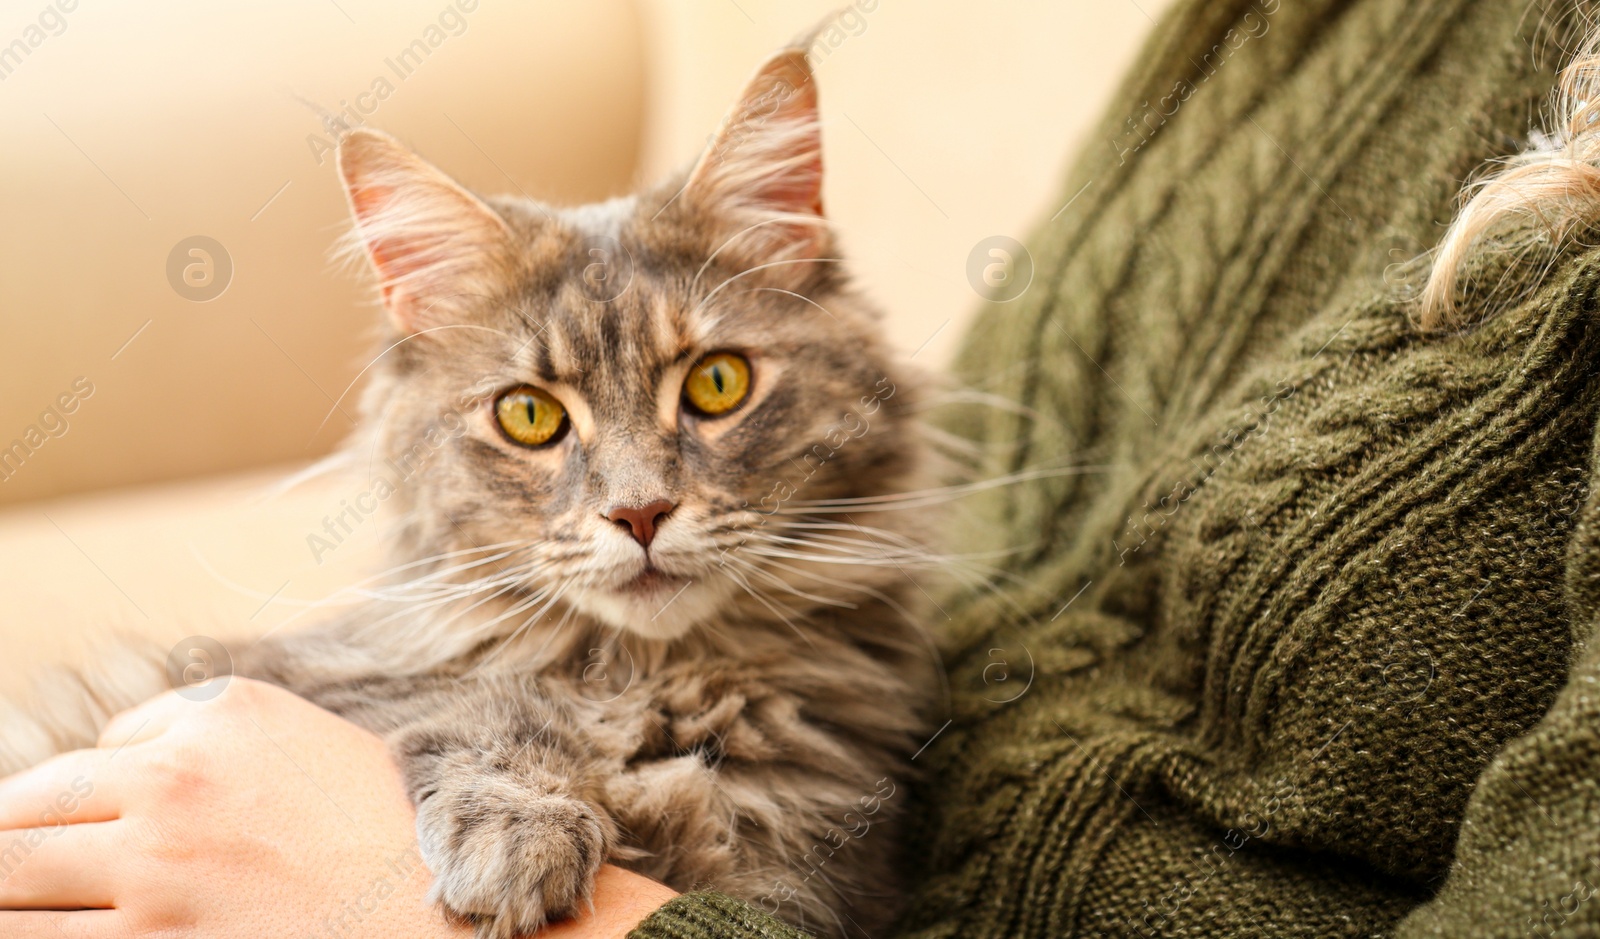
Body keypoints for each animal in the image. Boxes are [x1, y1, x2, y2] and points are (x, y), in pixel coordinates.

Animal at [0, 36, 940, 939]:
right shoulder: (313, 671)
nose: (640, 512)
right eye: (529, 415)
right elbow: (479, 700)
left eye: (717, 384)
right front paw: (517, 840)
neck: (644, 682)